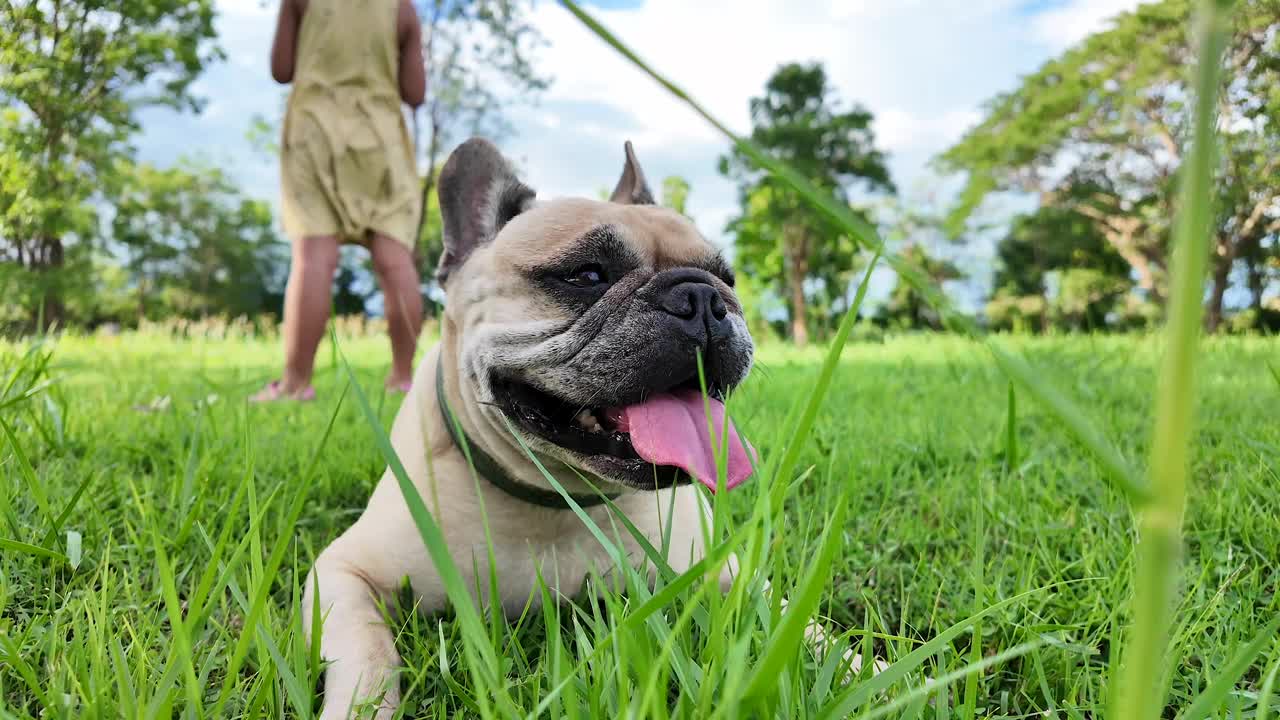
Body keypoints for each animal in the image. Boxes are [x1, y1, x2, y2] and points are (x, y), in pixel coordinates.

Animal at [303, 137, 849, 712]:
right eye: (587, 275)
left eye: (728, 278)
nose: (704, 298)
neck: (555, 497)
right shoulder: (343, 574)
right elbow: (367, 656)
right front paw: (359, 708)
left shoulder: (724, 573)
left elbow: (798, 624)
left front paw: (864, 666)